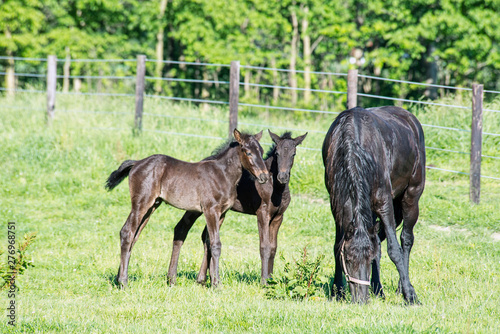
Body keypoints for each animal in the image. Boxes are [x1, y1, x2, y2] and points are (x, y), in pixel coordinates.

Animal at [106, 129, 270, 288]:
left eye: (261, 151)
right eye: (248, 152)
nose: (264, 177)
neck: (222, 175)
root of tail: (137, 163)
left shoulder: (222, 213)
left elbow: (210, 242)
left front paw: (210, 281)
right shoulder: (211, 210)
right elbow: (216, 245)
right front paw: (217, 285)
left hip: (152, 205)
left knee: (135, 235)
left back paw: (119, 278)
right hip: (141, 203)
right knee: (127, 232)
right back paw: (123, 282)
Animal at [168, 130, 306, 284]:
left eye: (293, 154)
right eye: (277, 153)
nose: (282, 177)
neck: (275, 188)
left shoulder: (278, 217)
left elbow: (273, 248)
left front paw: (271, 280)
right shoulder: (262, 213)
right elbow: (265, 246)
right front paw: (264, 281)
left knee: (205, 237)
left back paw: (203, 279)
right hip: (196, 209)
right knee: (182, 229)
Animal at [322, 105, 424, 304]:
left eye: (367, 260)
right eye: (348, 259)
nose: (361, 300)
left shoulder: (384, 203)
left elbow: (394, 250)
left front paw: (410, 295)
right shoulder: (336, 203)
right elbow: (338, 245)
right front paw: (337, 291)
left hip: (411, 196)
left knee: (406, 240)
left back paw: (401, 287)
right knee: (378, 238)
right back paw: (378, 289)